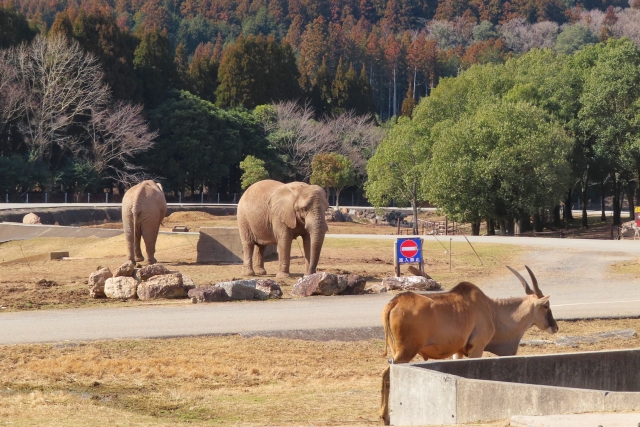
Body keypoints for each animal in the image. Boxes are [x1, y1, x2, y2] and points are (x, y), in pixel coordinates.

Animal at [378, 266, 556, 426]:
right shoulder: (476, 348)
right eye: (546, 306)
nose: (555, 327)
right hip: (405, 352)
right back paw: (385, 417)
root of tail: (395, 301)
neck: (491, 309)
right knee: (387, 373)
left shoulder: (458, 352)